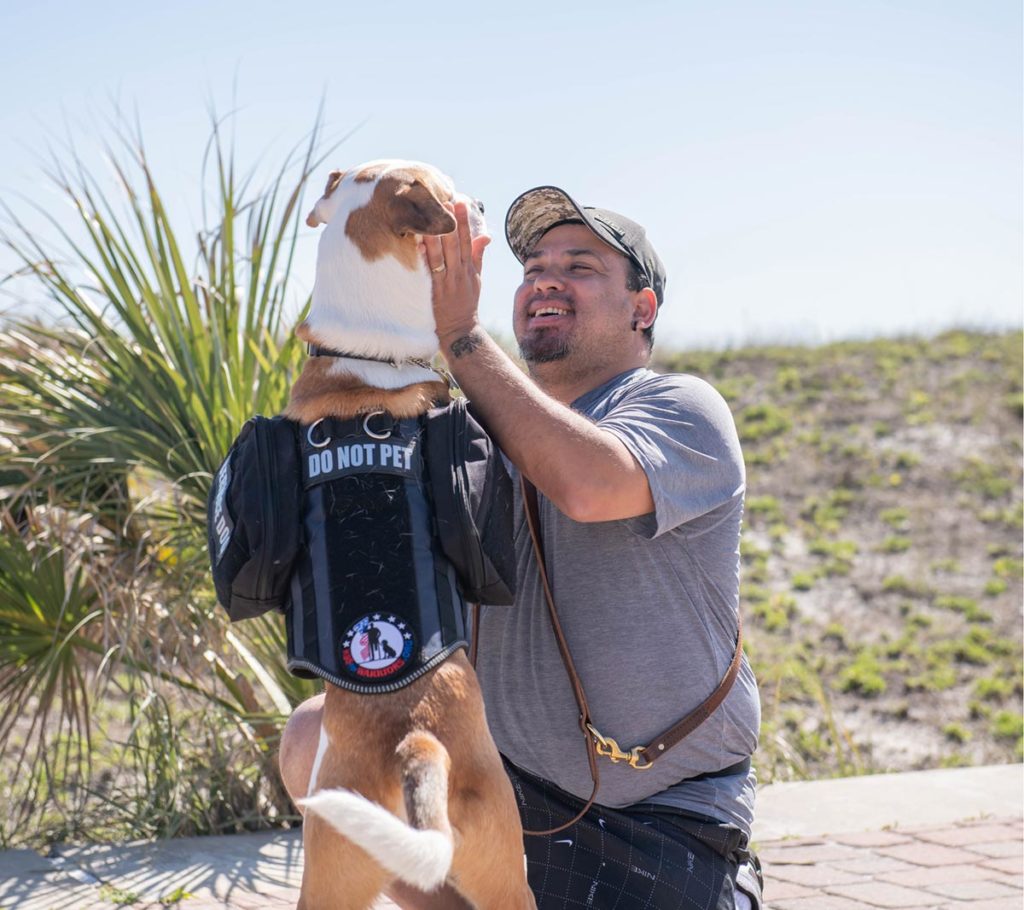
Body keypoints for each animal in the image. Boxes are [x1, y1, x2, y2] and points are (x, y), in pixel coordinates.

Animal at [282, 161, 536, 908]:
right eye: (452, 188)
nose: (480, 202)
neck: (365, 349)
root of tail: (414, 741)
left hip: (337, 869)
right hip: (511, 870)